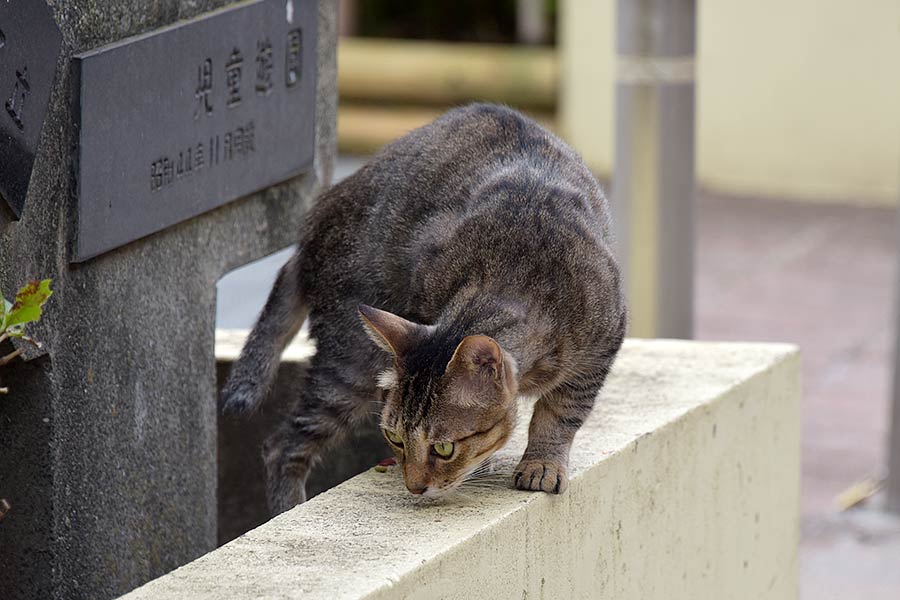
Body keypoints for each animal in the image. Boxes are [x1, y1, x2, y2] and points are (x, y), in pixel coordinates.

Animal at [221, 104, 624, 516]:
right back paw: (289, 509)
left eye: (444, 448)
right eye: (396, 438)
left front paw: (541, 463)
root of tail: (306, 238)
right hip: (350, 365)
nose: (414, 487)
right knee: (282, 446)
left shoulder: (599, 350)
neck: (517, 275)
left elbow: (560, 414)